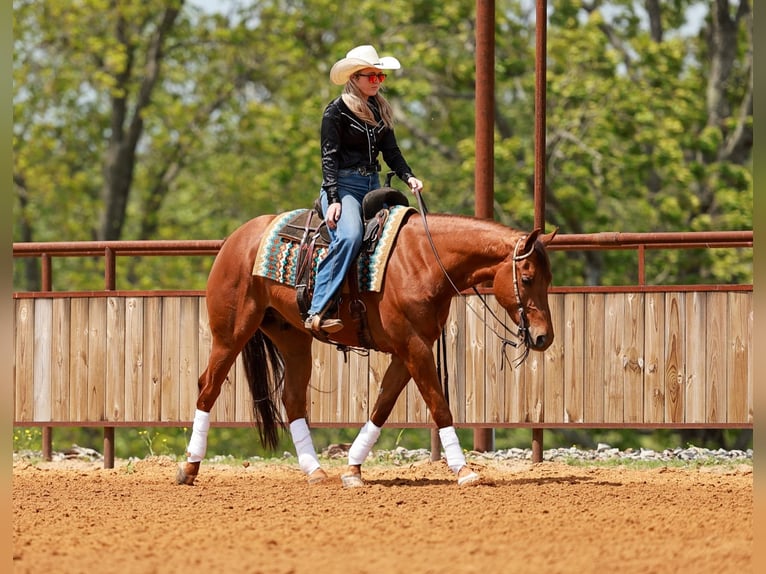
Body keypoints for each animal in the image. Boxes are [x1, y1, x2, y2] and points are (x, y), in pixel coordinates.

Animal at [176, 205, 557, 487]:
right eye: (527, 278)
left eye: (548, 278)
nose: (544, 337)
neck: (423, 260)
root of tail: (237, 238)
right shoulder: (414, 347)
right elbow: (439, 406)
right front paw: (464, 470)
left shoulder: (409, 351)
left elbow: (382, 406)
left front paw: (353, 469)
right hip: (230, 334)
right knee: (208, 387)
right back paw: (189, 467)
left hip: (293, 339)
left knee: (292, 399)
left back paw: (315, 472)